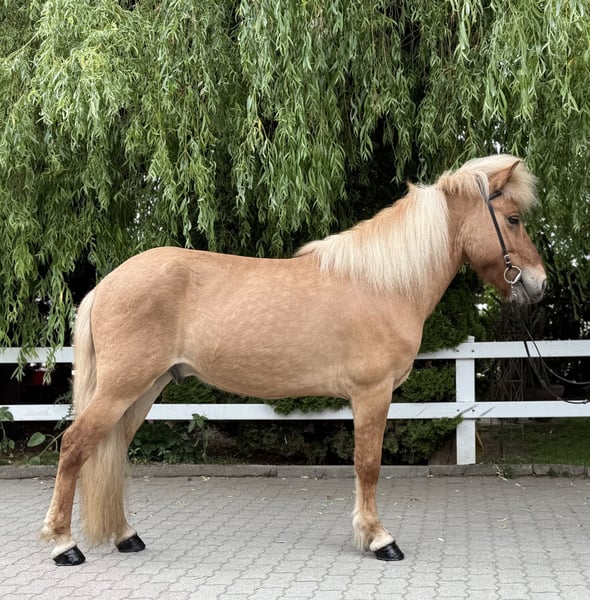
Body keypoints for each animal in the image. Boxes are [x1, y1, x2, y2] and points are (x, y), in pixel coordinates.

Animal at [41, 154, 546, 565]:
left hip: (144, 390)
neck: (384, 283)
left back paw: (126, 536)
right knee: (74, 446)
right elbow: (368, 464)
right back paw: (65, 546)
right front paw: (379, 540)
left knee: (111, 451)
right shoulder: (372, 394)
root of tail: (106, 284)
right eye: (513, 219)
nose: (538, 284)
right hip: (122, 387)